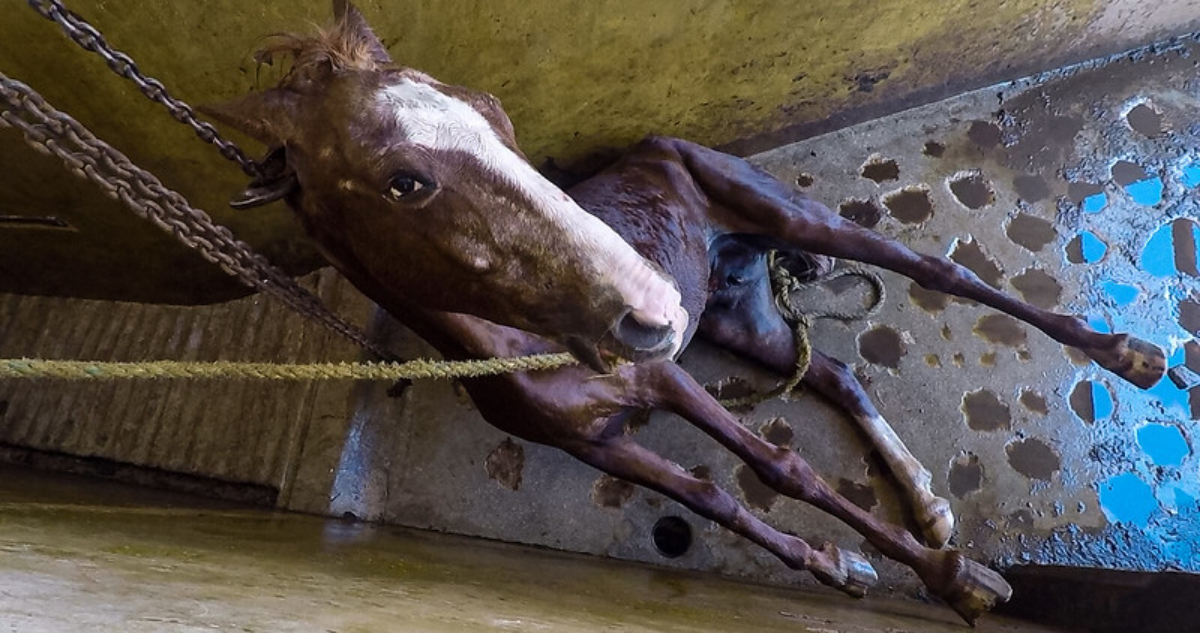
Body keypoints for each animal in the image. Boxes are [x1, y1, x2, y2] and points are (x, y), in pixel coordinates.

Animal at [201, 1, 1167, 623]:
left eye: (494, 110)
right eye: (402, 181)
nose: (653, 305)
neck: (526, 341)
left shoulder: (665, 379)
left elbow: (779, 467)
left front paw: (952, 579)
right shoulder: (601, 443)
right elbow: (714, 498)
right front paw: (843, 565)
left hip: (785, 223)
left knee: (938, 271)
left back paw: (1128, 354)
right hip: (744, 320)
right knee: (836, 371)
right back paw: (927, 502)